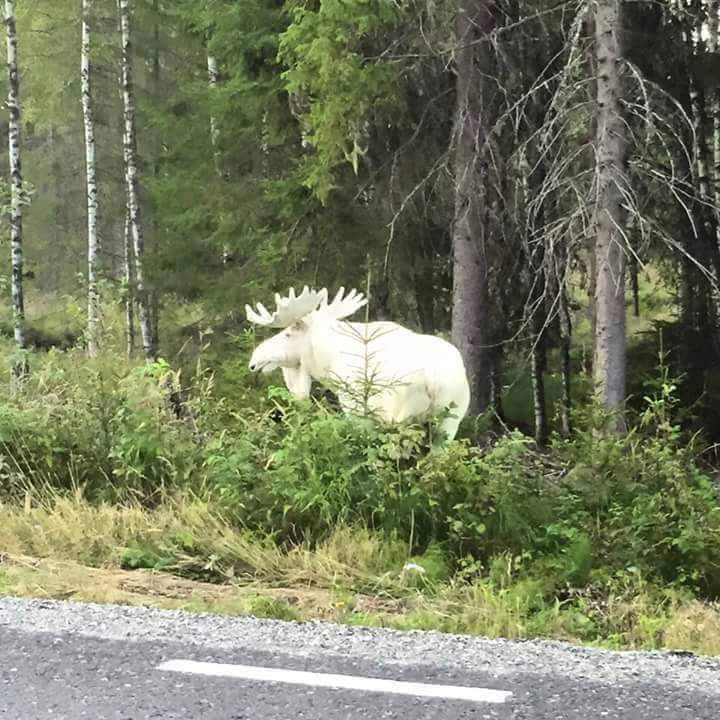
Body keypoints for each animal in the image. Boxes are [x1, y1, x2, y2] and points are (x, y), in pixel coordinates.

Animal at [248, 286, 472, 442]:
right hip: (451, 418)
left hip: (398, 414)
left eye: (287, 334)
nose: (254, 360)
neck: (326, 362)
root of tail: (435, 380)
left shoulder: (356, 408)